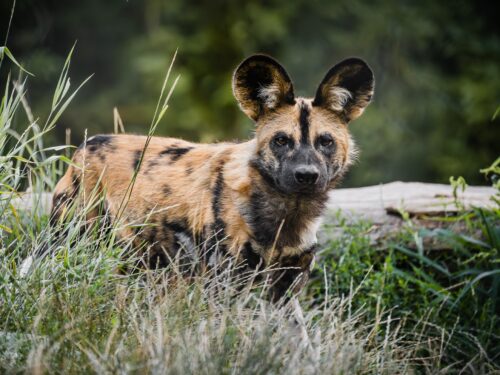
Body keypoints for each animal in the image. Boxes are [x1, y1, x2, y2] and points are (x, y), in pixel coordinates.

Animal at [51, 55, 372, 302]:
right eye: (281, 140)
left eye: (325, 141)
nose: (306, 175)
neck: (287, 215)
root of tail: (87, 144)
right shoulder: (224, 284)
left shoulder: (284, 290)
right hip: (72, 241)